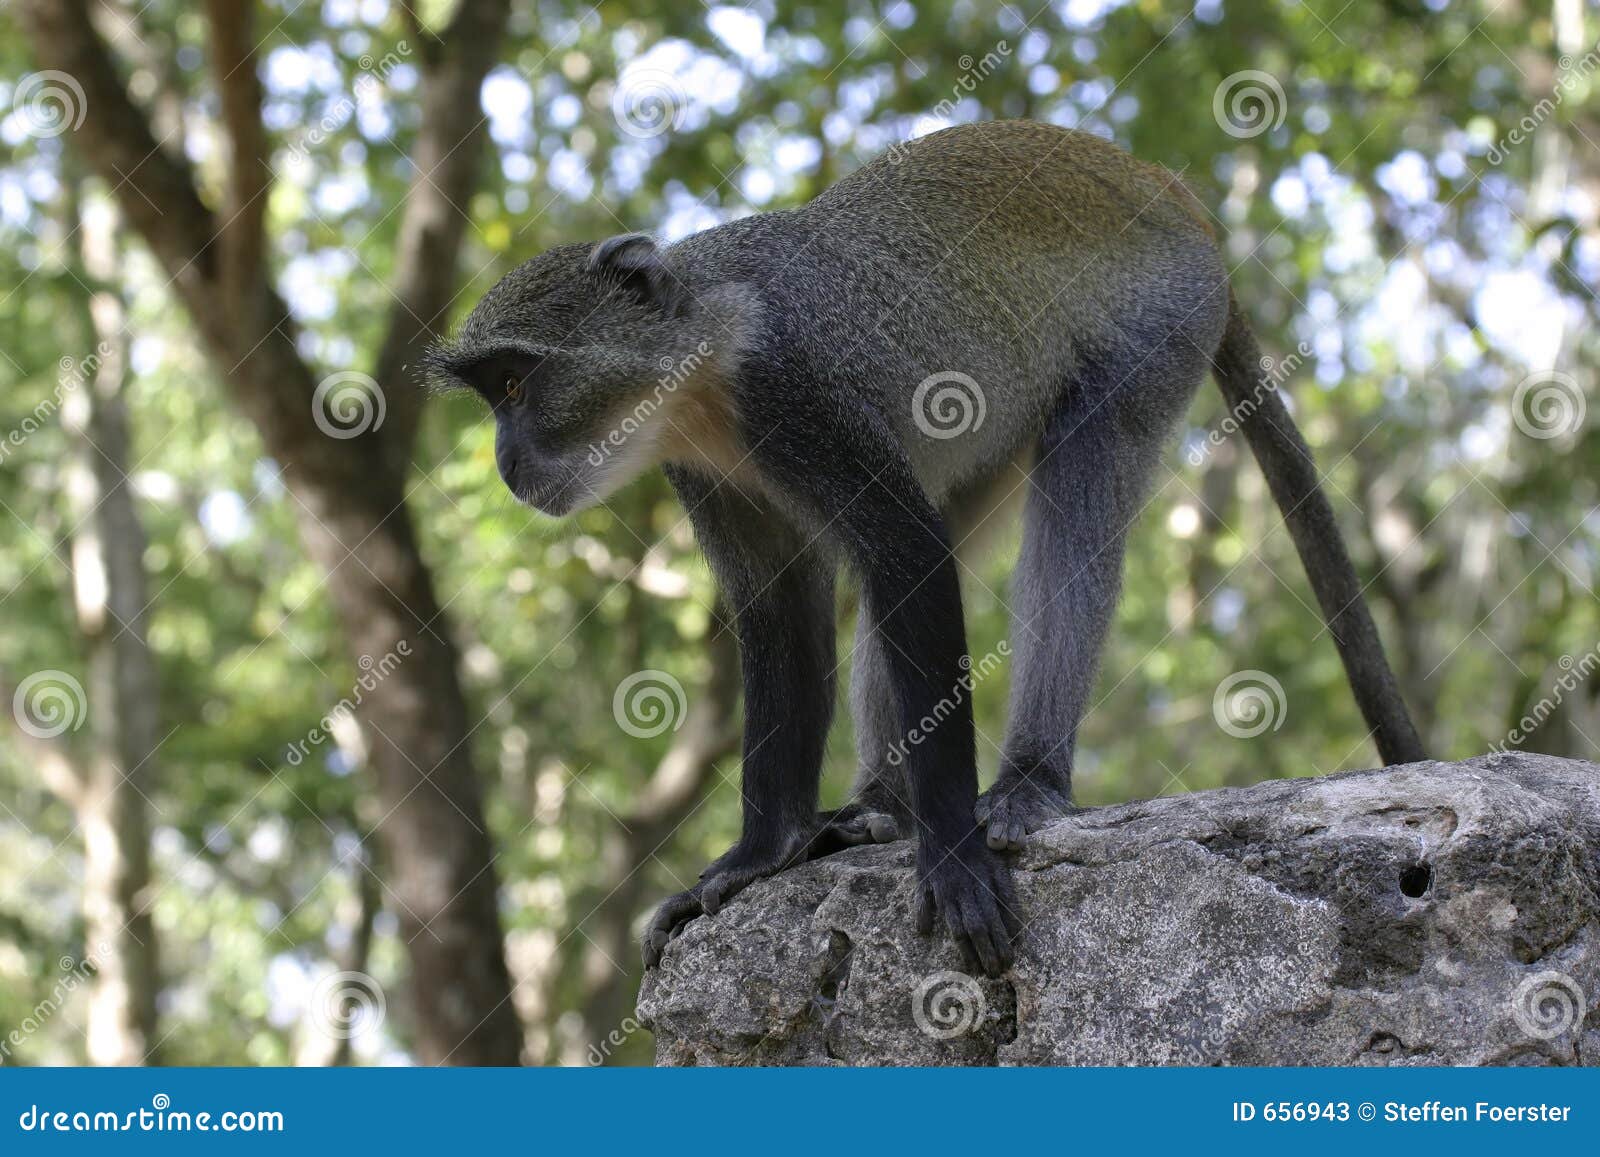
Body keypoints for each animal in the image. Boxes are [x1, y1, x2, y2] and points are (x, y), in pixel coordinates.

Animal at [426, 120, 1427, 977]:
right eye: (492, 394)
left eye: (515, 383)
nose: (505, 463)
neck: (707, 345)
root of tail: (1170, 191)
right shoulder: (698, 462)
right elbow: (784, 606)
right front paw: (756, 855)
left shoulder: (796, 386)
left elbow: (907, 555)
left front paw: (952, 859)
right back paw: (879, 806)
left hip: (1158, 332)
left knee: (1077, 492)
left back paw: (1027, 780)